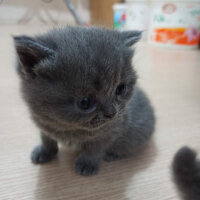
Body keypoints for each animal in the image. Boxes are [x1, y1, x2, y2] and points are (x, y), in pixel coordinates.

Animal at [13, 25, 155, 176]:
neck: (64, 126)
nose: (111, 113)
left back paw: (112, 155)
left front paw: (87, 163)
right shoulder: (43, 124)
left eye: (120, 89)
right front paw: (44, 152)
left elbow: (95, 148)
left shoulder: (111, 131)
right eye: (85, 102)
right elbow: (46, 139)